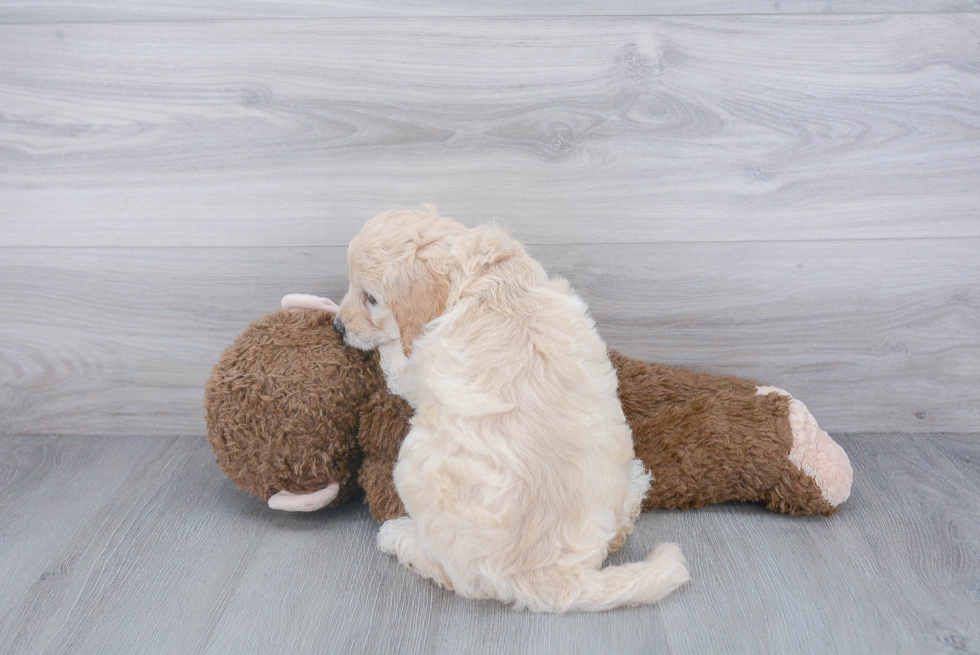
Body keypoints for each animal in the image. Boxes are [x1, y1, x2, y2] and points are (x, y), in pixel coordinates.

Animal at [336, 208, 688, 612]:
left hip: (414, 468)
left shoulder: (415, 365)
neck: (484, 277)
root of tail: (552, 579)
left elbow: (396, 360)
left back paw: (397, 535)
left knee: (452, 576)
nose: (337, 326)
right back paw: (636, 487)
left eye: (370, 298)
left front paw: (385, 346)